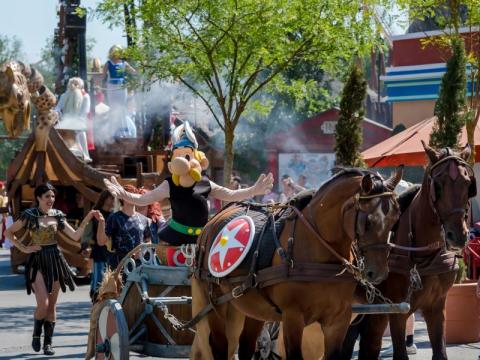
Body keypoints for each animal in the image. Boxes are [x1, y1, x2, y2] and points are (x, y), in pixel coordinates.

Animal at [193, 167, 404, 358]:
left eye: (395, 218)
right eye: (367, 221)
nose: (378, 273)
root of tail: (213, 221)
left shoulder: (338, 320)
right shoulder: (293, 318)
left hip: (253, 306)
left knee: (246, 345)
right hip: (214, 302)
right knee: (220, 344)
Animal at [344, 141, 474, 360]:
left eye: (467, 184)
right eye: (438, 185)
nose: (458, 236)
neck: (423, 253)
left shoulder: (436, 308)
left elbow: (440, 353)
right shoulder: (397, 310)